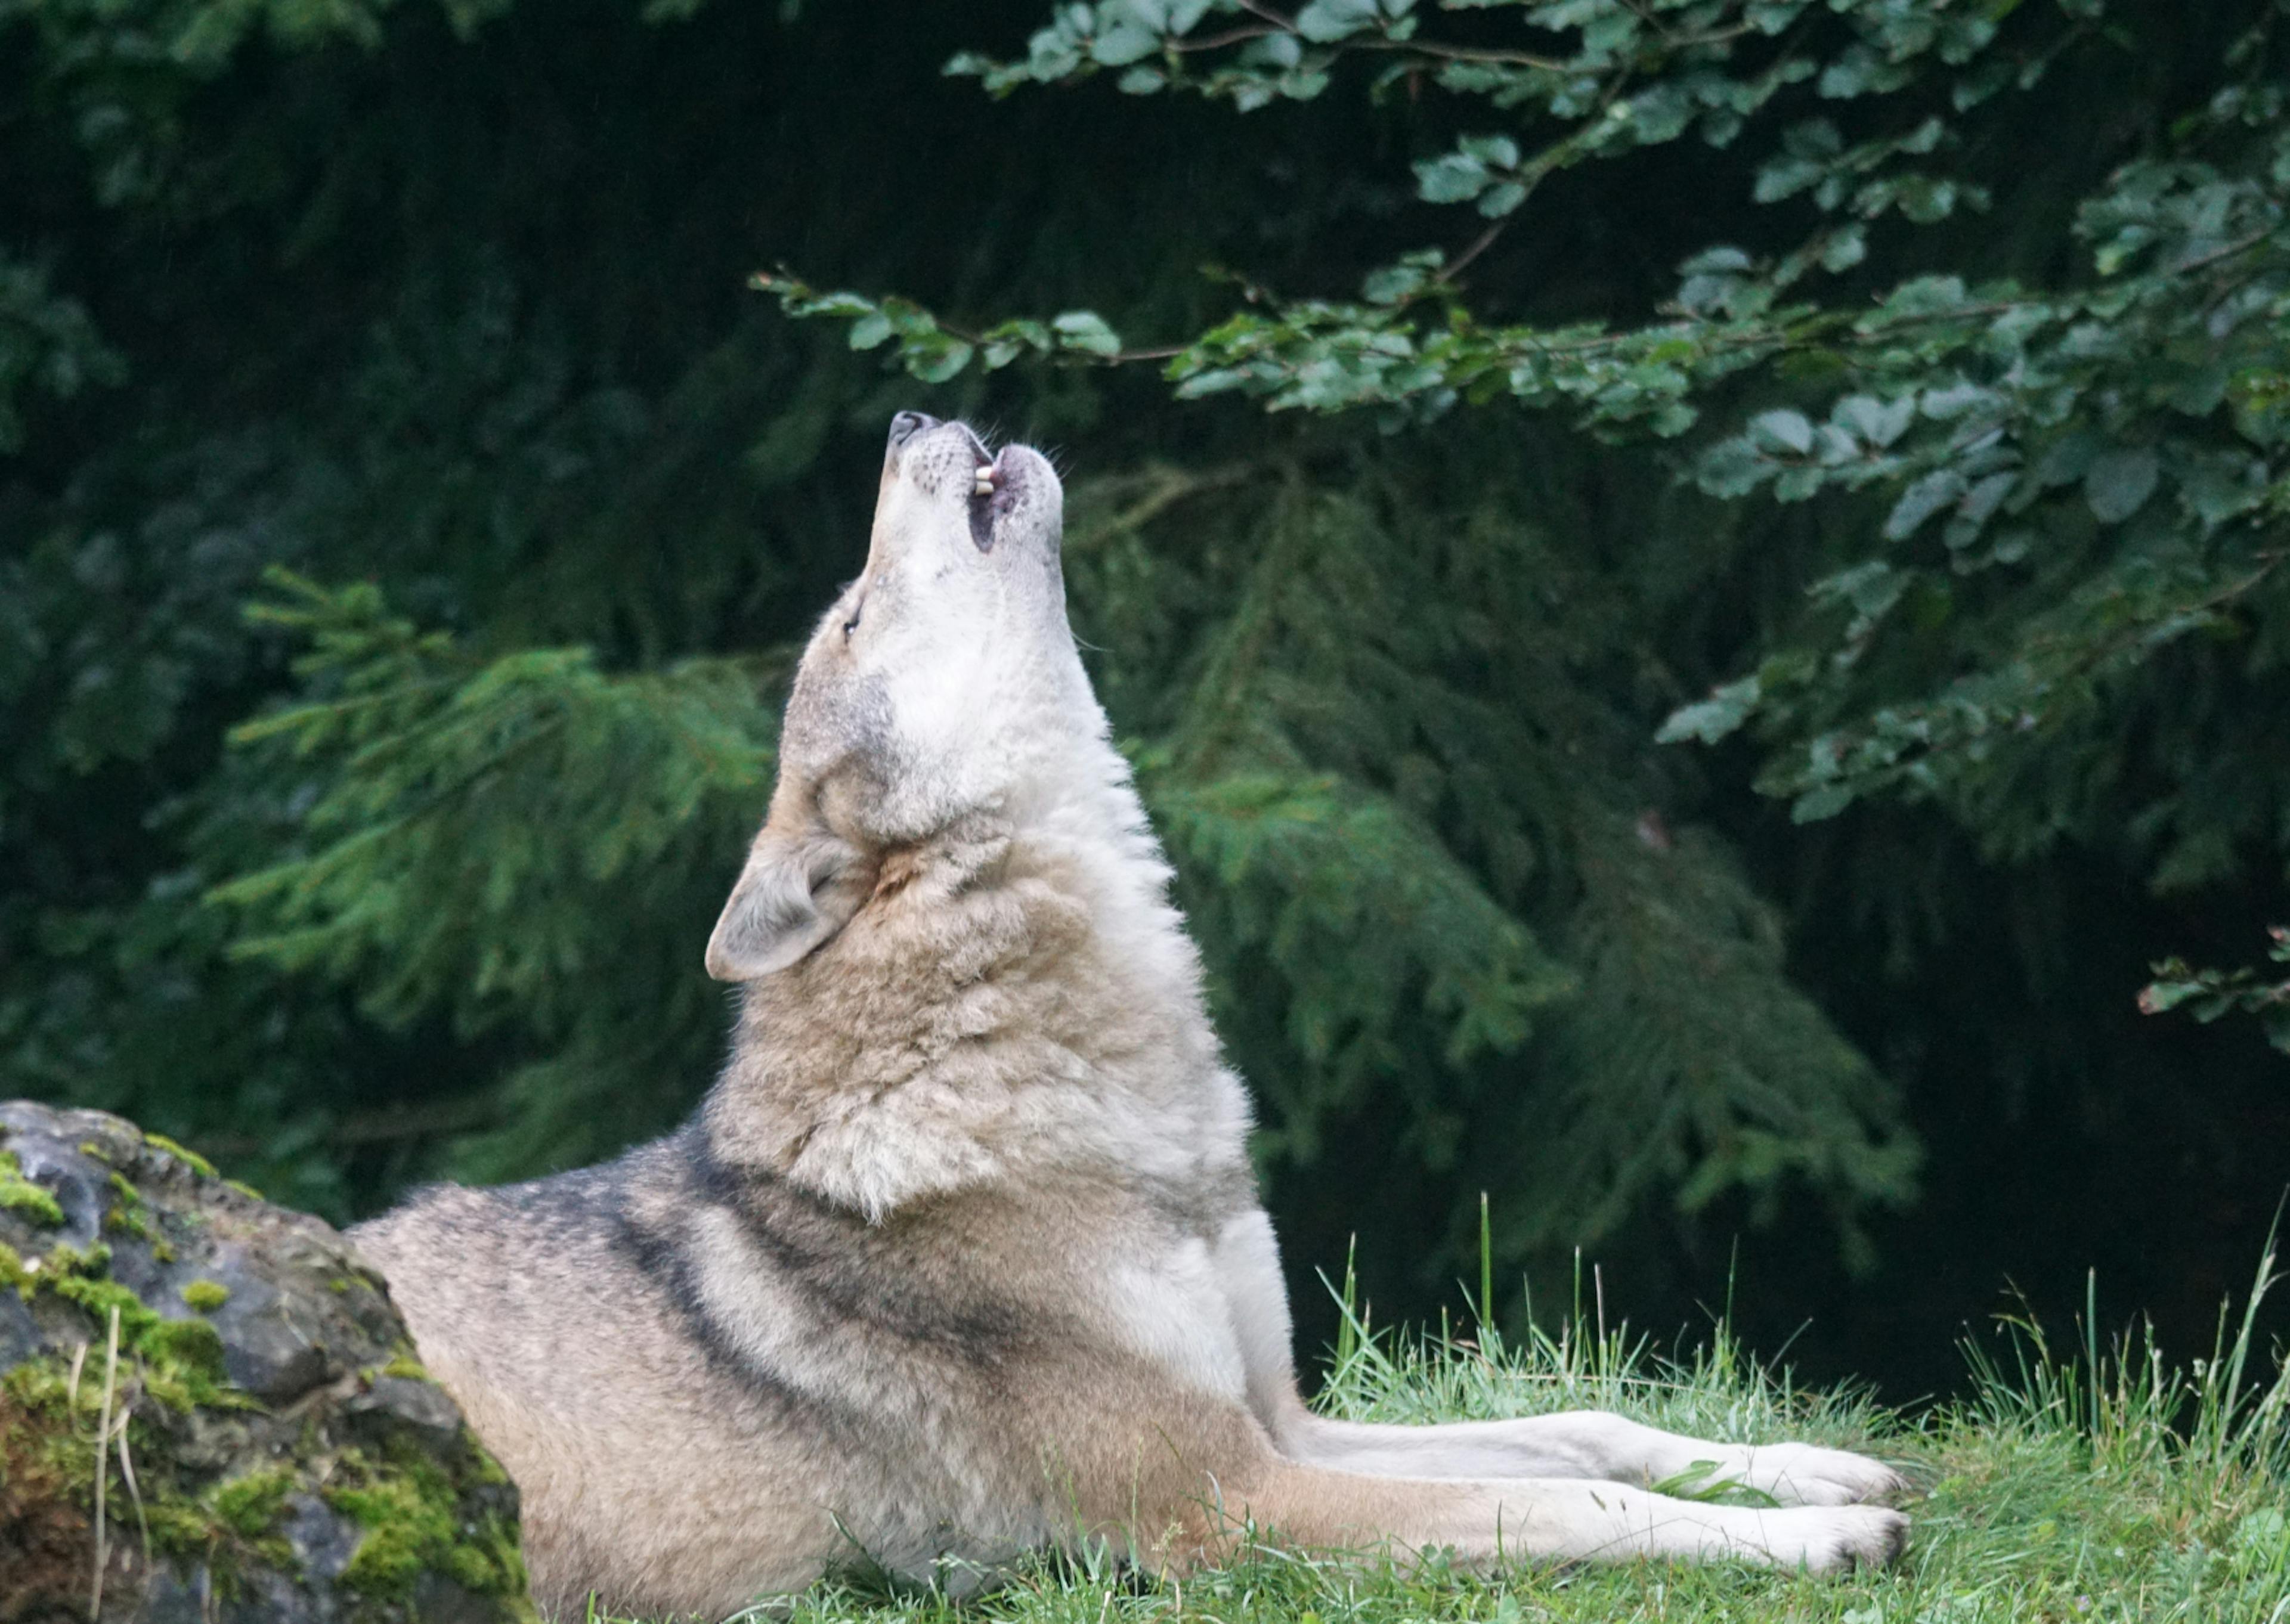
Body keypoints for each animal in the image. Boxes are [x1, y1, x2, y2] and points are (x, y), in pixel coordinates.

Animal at [348, 414, 1905, 1612]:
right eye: (848, 617)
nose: (909, 415)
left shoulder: (1282, 1422)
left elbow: (1583, 1431)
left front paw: (1813, 1468)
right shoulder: (1225, 1502)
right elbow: (1567, 1507)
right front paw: (1820, 1537)